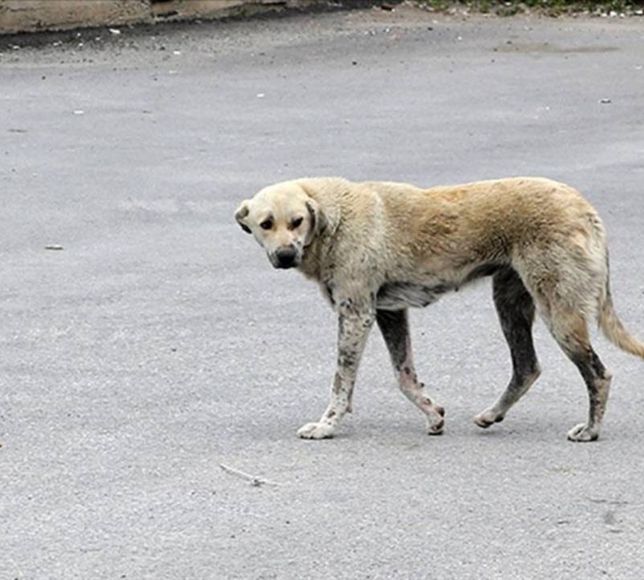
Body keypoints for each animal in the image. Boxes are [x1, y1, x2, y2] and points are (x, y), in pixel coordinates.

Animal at [235, 176, 644, 440]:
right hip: (510, 304)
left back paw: (591, 430)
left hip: (559, 313)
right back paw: (493, 414)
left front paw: (327, 426)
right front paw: (433, 414)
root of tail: (585, 207)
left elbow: (341, 383)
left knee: (598, 375)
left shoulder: (356, 315)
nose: (285, 255)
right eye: (265, 224)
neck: (333, 218)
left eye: (297, 221)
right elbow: (404, 375)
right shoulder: (388, 313)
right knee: (527, 367)